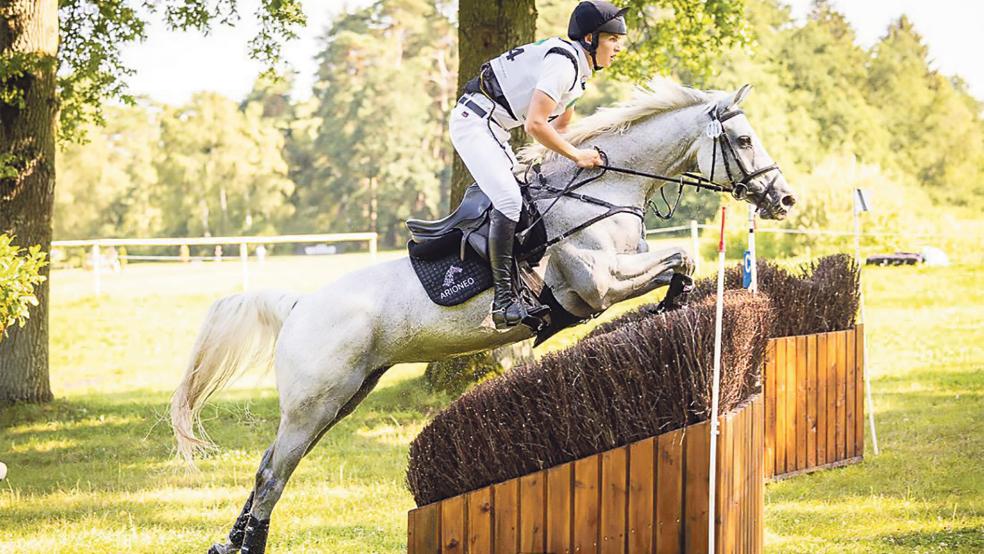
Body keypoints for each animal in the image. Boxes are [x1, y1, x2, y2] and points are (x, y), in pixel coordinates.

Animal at [173, 78, 796, 552]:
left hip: (342, 398)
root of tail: (301, 306)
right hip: (315, 403)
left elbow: (680, 263)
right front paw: (671, 307)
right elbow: (681, 258)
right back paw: (246, 545)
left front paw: (672, 308)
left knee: (271, 464)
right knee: (272, 473)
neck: (606, 190)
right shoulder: (596, 285)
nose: (784, 199)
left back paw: (229, 542)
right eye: (743, 138)